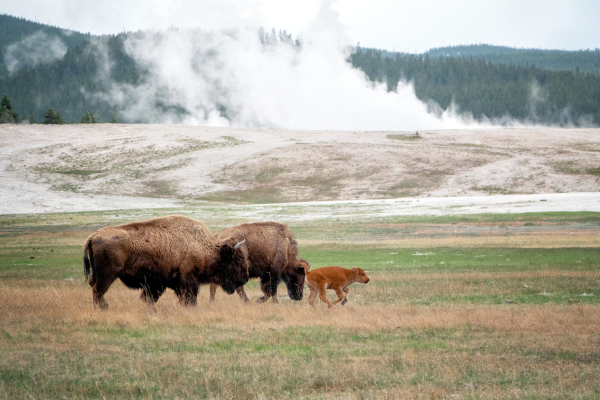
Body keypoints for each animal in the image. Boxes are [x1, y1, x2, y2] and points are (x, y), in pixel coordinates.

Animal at [82, 216, 248, 310]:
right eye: (238, 259)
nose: (245, 278)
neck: (202, 246)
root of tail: (93, 235)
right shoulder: (188, 279)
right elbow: (190, 298)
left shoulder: (159, 283)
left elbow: (151, 297)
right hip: (108, 274)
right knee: (98, 290)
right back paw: (100, 309)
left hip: (100, 274)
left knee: (94, 287)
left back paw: (104, 307)